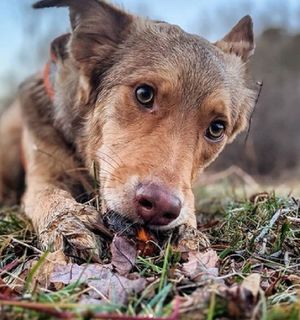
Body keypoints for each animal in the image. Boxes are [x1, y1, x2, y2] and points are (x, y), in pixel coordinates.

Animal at [0, 0, 256, 260]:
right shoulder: (43, 172)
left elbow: (189, 204)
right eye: (144, 94)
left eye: (217, 128)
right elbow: (46, 193)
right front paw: (65, 220)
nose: (160, 207)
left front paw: (188, 230)